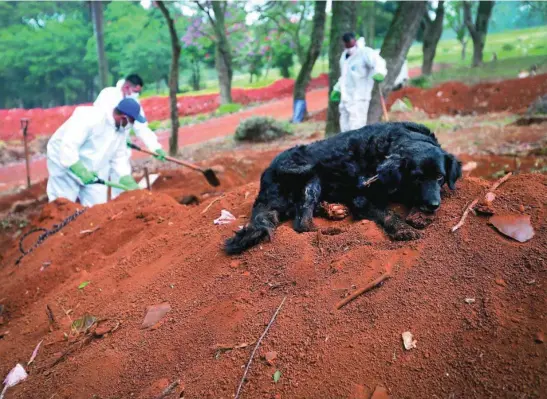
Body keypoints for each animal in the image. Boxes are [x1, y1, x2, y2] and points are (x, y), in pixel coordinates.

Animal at [224, 121, 462, 256]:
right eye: (417, 178)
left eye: (440, 177)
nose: (433, 205)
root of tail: (265, 178)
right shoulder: (361, 197)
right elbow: (387, 213)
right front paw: (403, 228)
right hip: (311, 176)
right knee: (302, 223)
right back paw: (332, 229)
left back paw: (333, 209)